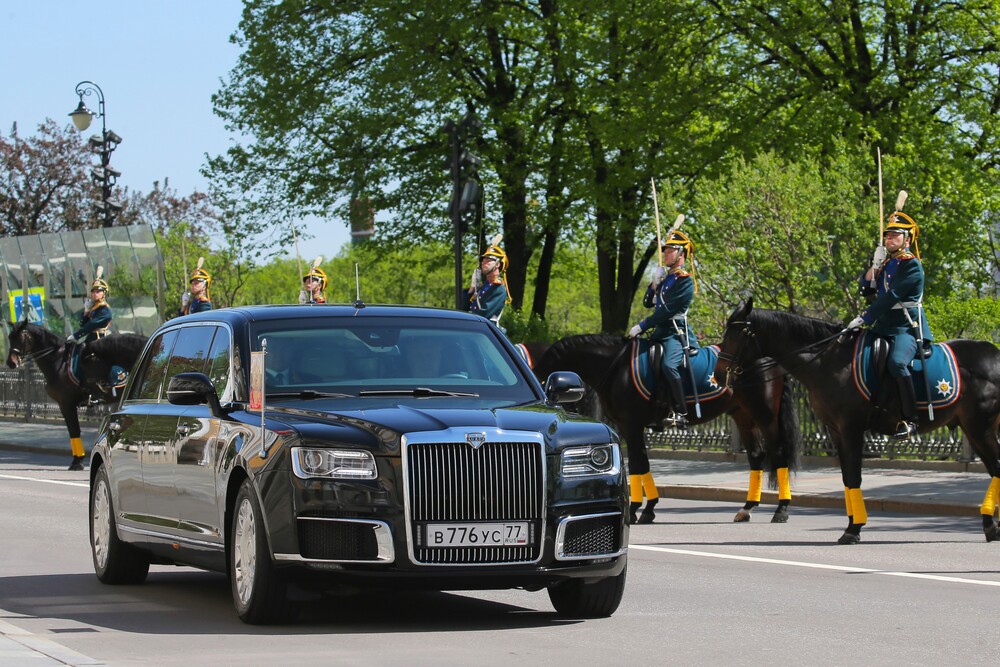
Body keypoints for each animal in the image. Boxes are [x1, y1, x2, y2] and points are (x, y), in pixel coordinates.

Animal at [6, 322, 148, 470]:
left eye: (20, 337)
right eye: (10, 337)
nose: (10, 362)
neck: (57, 361)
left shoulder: (66, 404)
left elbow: (74, 431)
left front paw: (77, 462)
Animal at [528, 336, 800, 524]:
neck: (617, 368)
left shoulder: (631, 425)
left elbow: (638, 465)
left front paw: (638, 509)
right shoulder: (630, 427)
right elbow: (640, 465)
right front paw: (647, 508)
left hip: (764, 414)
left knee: (777, 453)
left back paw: (781, 509)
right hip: (742, 414)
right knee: (756, 456)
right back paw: (747, 508)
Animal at [720, 300, 1000, 544]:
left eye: (735, 332)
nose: (719, 372)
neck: (829, 361)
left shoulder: (850, 429)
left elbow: (854, 476)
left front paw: (853, 529)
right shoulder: (836, 431)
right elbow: (846, 477)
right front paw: (852, 523)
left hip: (980, 427)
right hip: (973, 428)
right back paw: (990, 526)